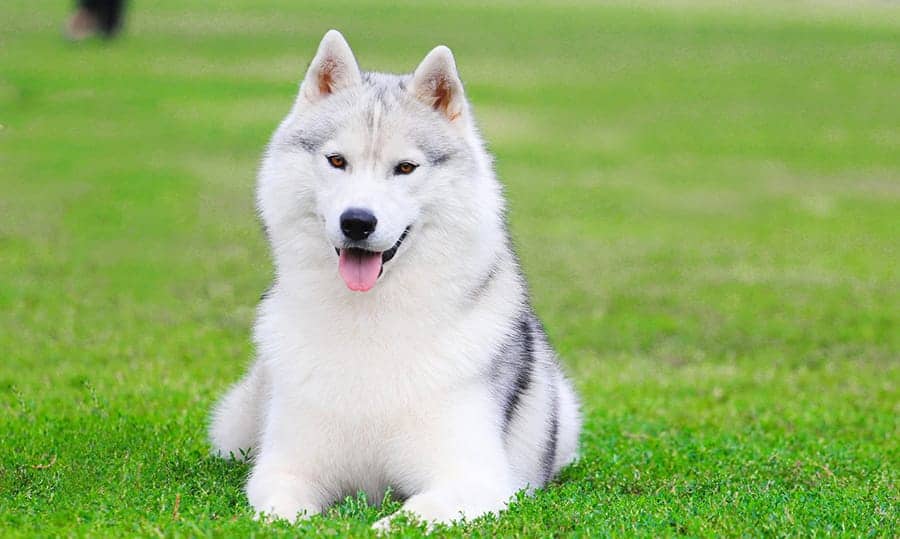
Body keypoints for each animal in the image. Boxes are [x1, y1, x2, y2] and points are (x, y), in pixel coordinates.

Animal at [207, 29, 580, 528]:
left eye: (405, 167)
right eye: (337, 161)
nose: (357, 222)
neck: (371, 321)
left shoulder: (473, 478)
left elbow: (408, 517)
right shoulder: (284, 469)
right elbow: (282, 512)